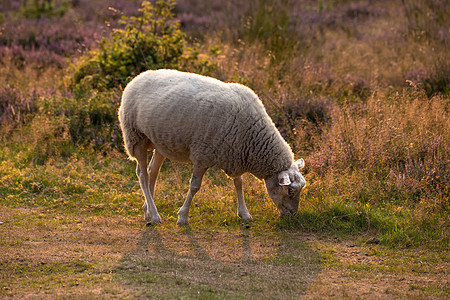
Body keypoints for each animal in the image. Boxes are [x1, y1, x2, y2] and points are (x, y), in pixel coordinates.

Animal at [118, 69, 306, 225]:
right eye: (290, 190)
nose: (293, 215)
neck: (252, 138)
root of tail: (137, 77)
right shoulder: (202, 155)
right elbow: (195, 187)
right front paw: (183, 216)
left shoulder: (235, 153)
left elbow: (239, 183)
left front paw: (244, 213)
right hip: (136, 136)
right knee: (142, 175)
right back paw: (155, 216)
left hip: (160, 141)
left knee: (153, 172)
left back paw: (147, 211)